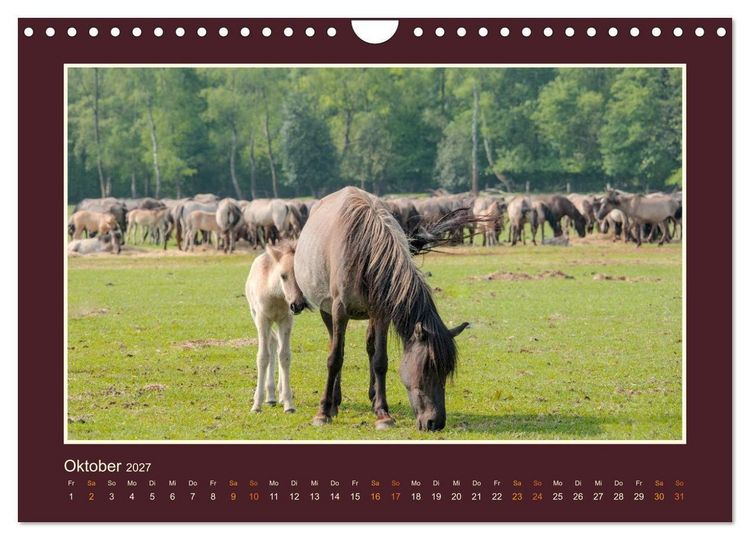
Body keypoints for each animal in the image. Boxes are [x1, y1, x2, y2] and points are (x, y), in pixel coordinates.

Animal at [245, 242, 308, 413]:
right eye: (283, 275)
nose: (297, 305)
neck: (276, 296)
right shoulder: (262, 319)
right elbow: (263, 357)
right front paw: (256, 405)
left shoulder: (286, 320)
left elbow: (285, 356)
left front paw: (288, 403)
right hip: (255, 315)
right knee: (272, 343)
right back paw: (270, 396)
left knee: (277, 344)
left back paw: (276, 395)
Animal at [294, 187, 469, 431]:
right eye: (427, 368)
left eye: (446, 371)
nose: (435, 422)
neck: (365, 251)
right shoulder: (339, 310)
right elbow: (335, 358)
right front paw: (323, 412)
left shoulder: (382, 313)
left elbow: (380, 360)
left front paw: (383, 413)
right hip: (327, 310)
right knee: (335, 346)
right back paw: (334, 402)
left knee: (369, 347)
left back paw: (372, 396)